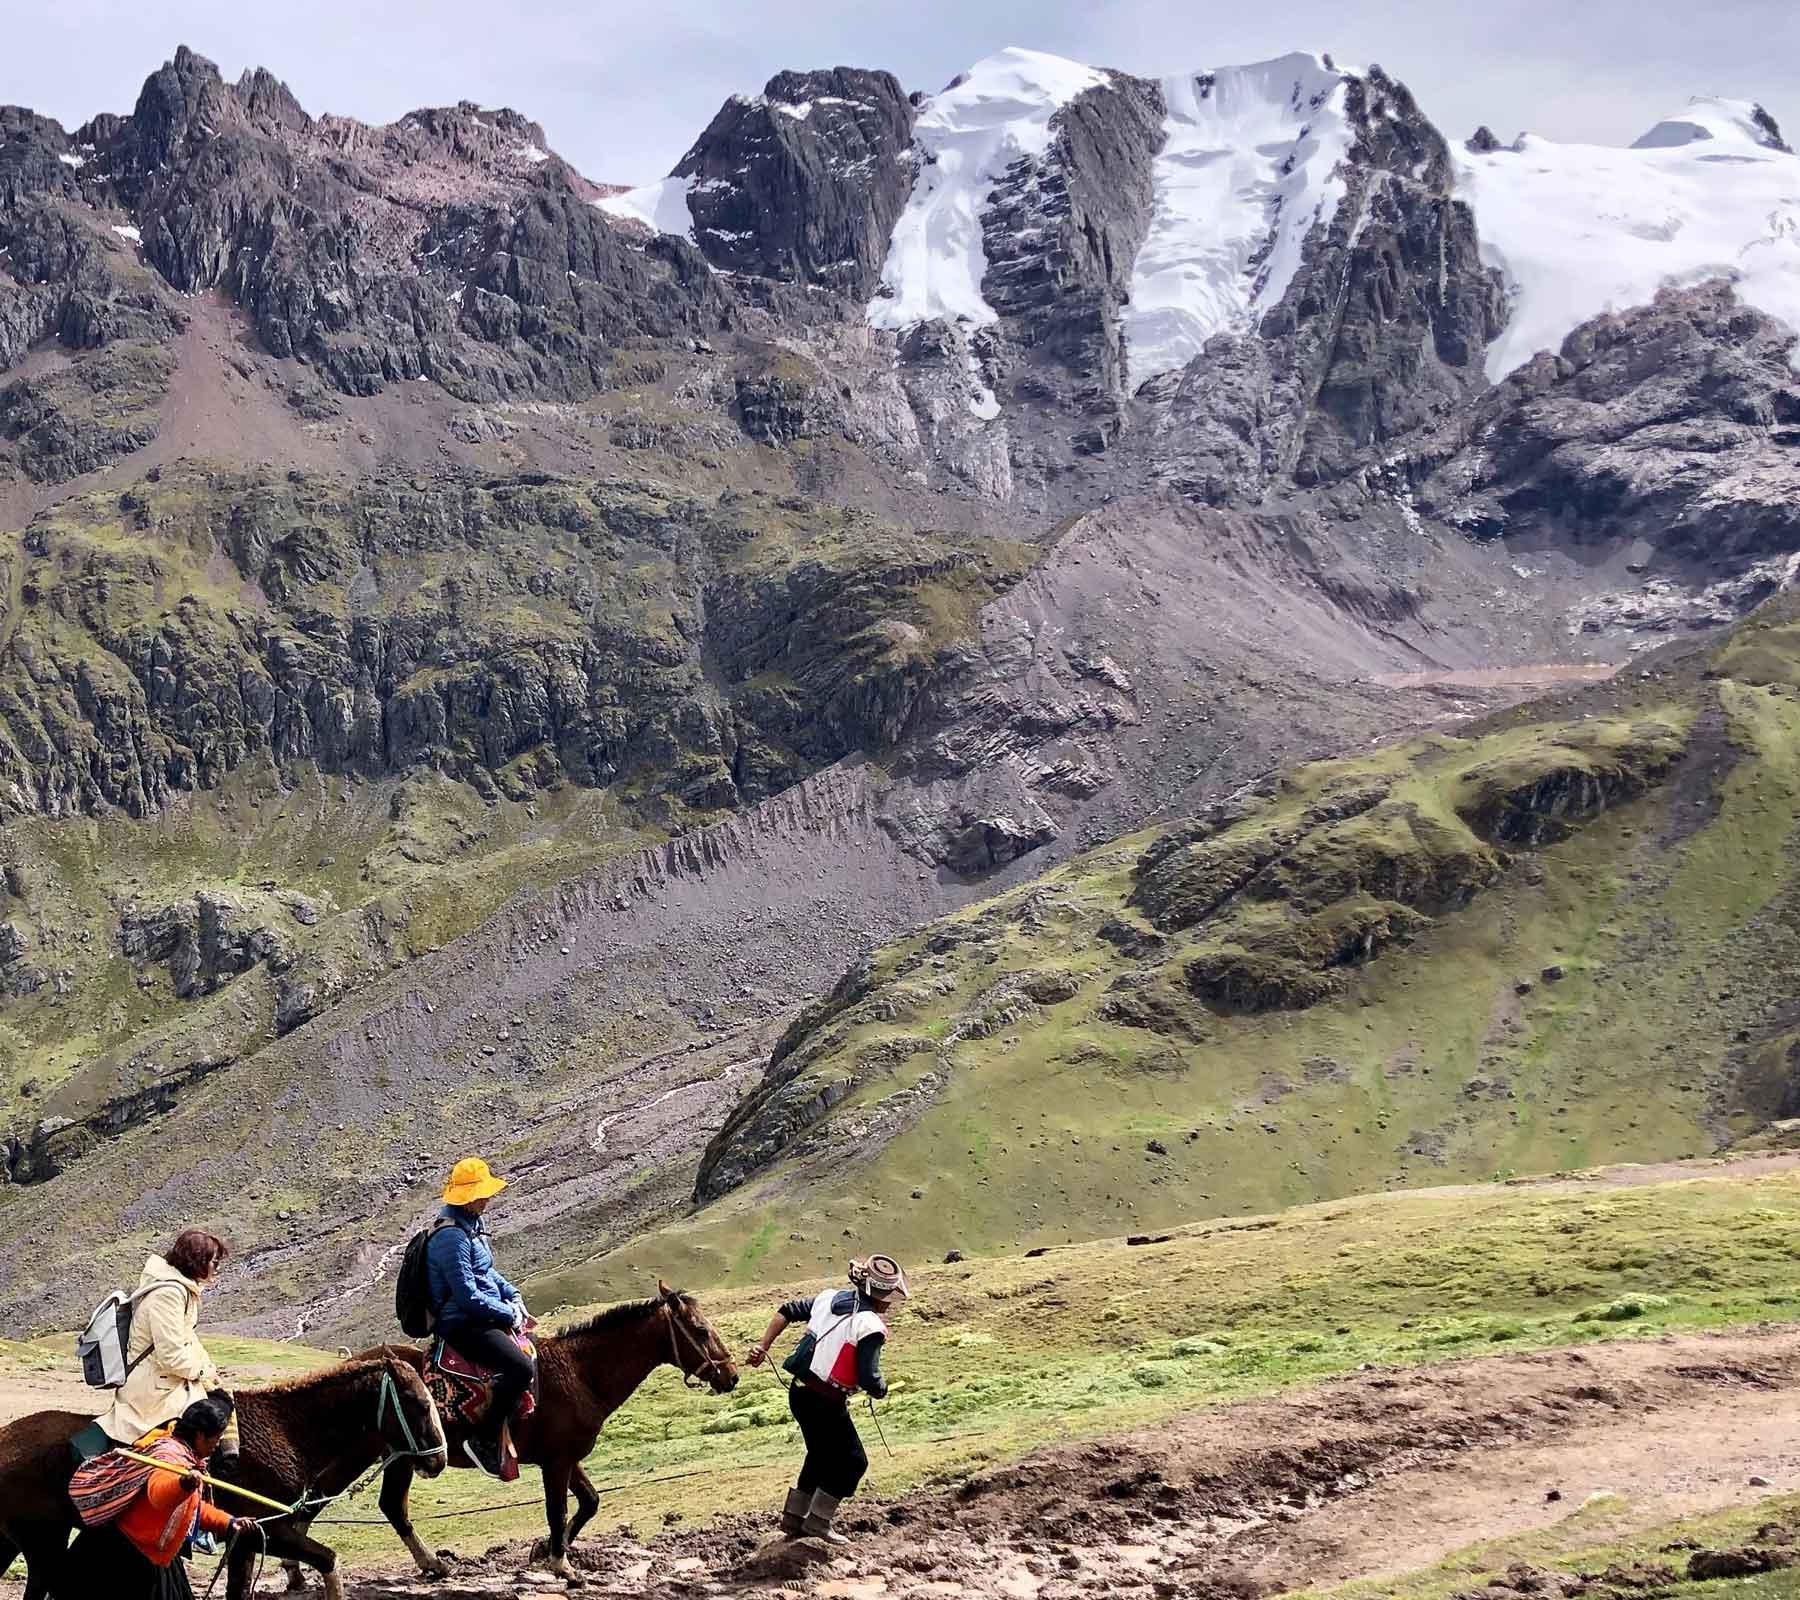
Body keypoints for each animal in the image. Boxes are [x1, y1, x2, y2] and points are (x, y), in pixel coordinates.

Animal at [0, 1346, 442, 1598]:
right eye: (419, 1402)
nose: (437, 1459)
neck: (286, 1430)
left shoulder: (245, 1540)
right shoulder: (268, 1531)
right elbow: (329, 1559)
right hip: (43, 1543)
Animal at [376, 1281, 741, 1576]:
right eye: (701, 1330)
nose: (731, 1375)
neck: (580, 1373)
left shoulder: (569, 1457)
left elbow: (590, 1501)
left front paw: (545, 1549)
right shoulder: (556, 1461)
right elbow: (558, 1509)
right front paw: (559, 1562)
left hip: (402, 1459)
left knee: (392, 1506)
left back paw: (432, 1564)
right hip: (403, 1458)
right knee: (394, 1506)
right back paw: (433, 1563)